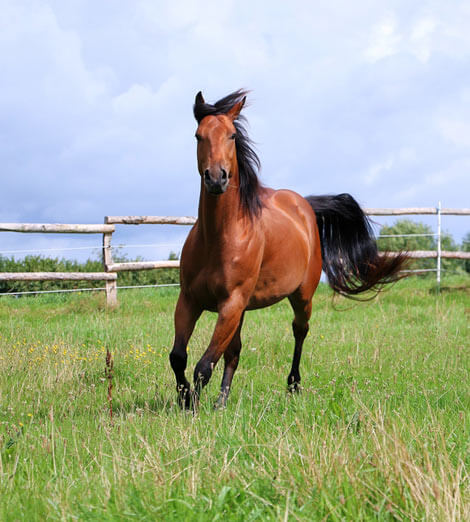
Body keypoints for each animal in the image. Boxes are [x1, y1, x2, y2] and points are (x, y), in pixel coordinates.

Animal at [170, 89, 408, 406]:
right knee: (234, 352)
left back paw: (293, 385)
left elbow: (203, 366)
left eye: (232, 135)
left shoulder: (231, 304)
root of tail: (304, 204)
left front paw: (192, 405)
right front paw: (186, 399)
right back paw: (222, 401)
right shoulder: (191, 300)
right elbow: (178, 357)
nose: (217, 178)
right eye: (198, 136)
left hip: (301, 296)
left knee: (299, 331)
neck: (218, 238)